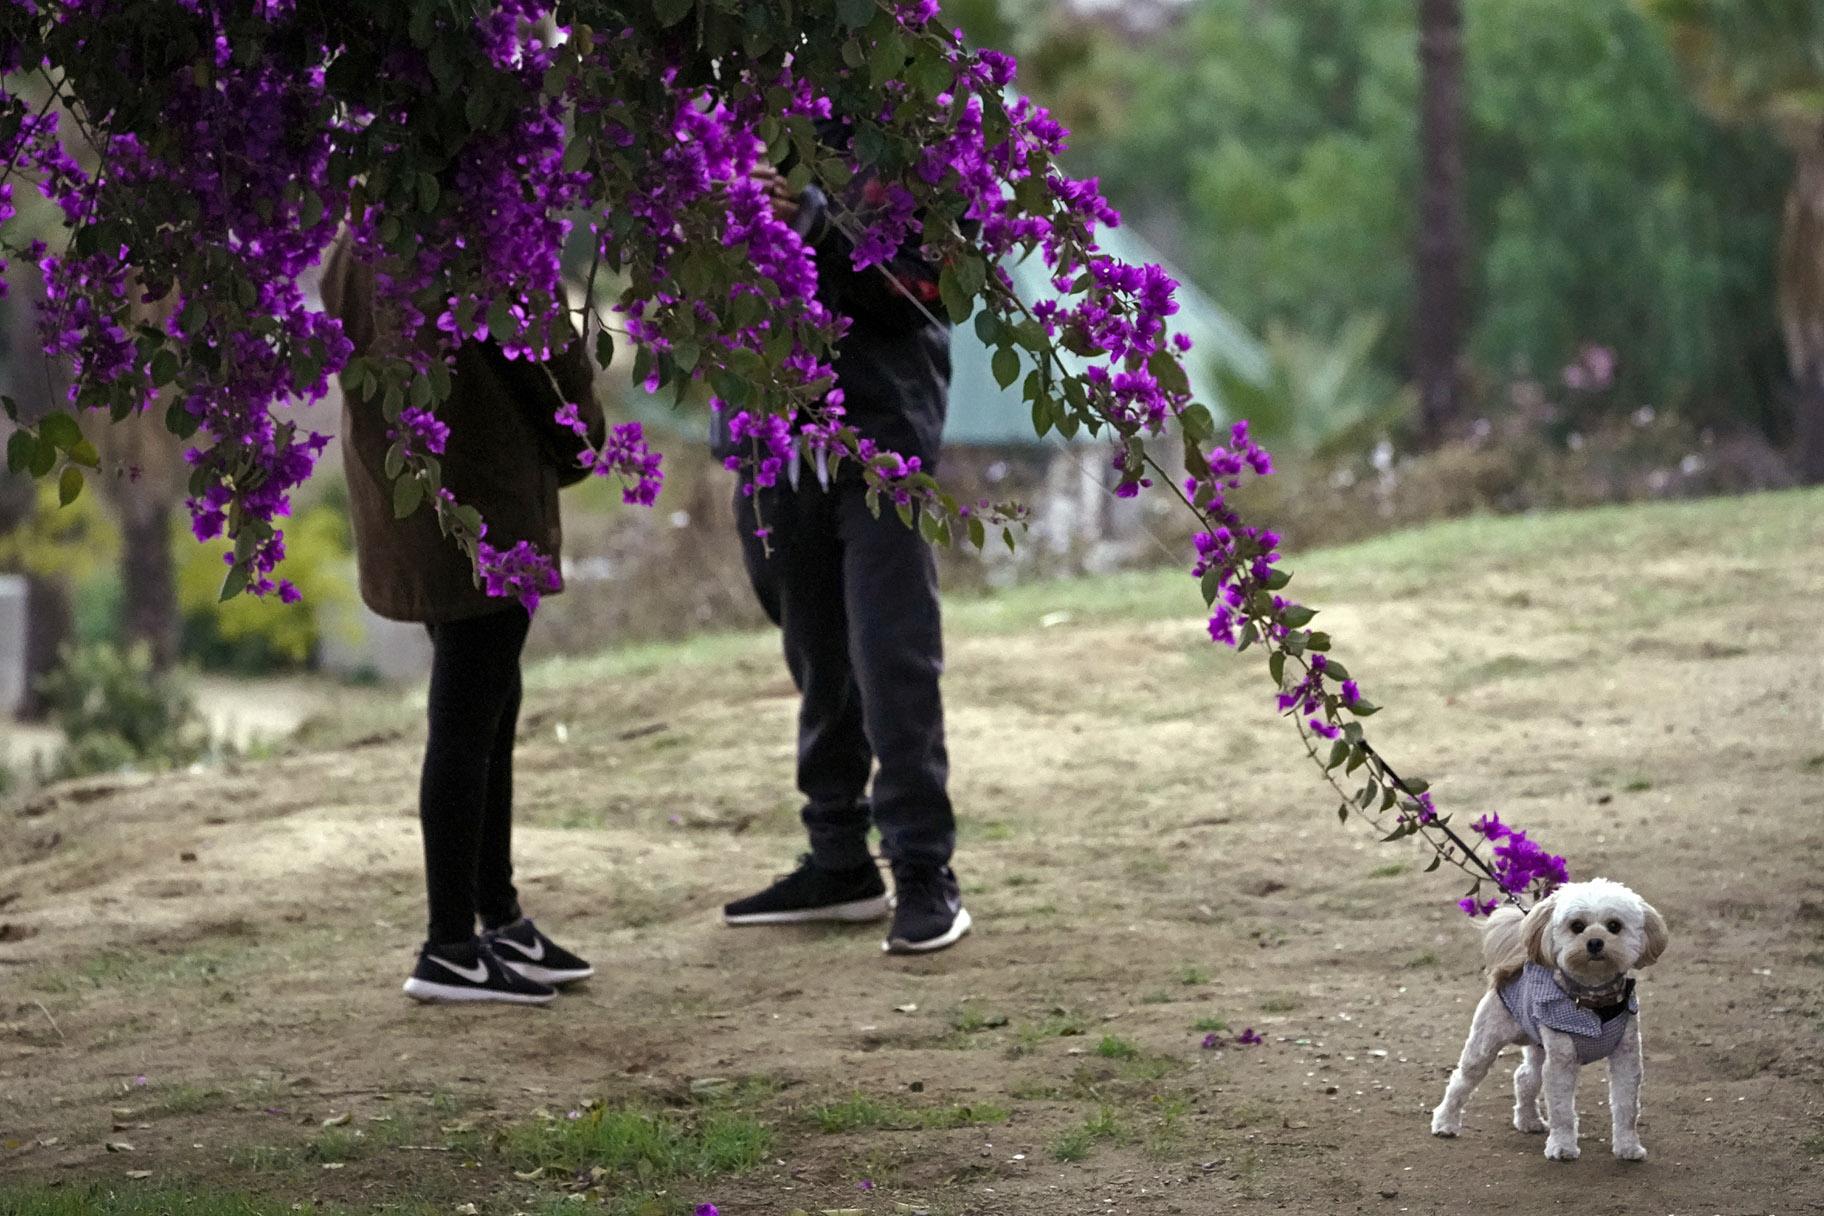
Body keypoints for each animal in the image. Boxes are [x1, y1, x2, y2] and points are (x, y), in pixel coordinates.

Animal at [1430, 878, 1670, 1166]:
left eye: (1614, 926)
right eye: (1577, 926)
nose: (1595, 942)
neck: (1593, 1004)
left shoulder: (1626, 1057)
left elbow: (1626, 1107)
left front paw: (1628, 1147)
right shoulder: (1562, 1061)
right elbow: (1562, 1110)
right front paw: (1563, 1147)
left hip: (1539, 1046)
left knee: (1525, 1077)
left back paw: (1528, 1121)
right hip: (1486, 1041)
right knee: (1462, 1079)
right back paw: (1445, 1122)